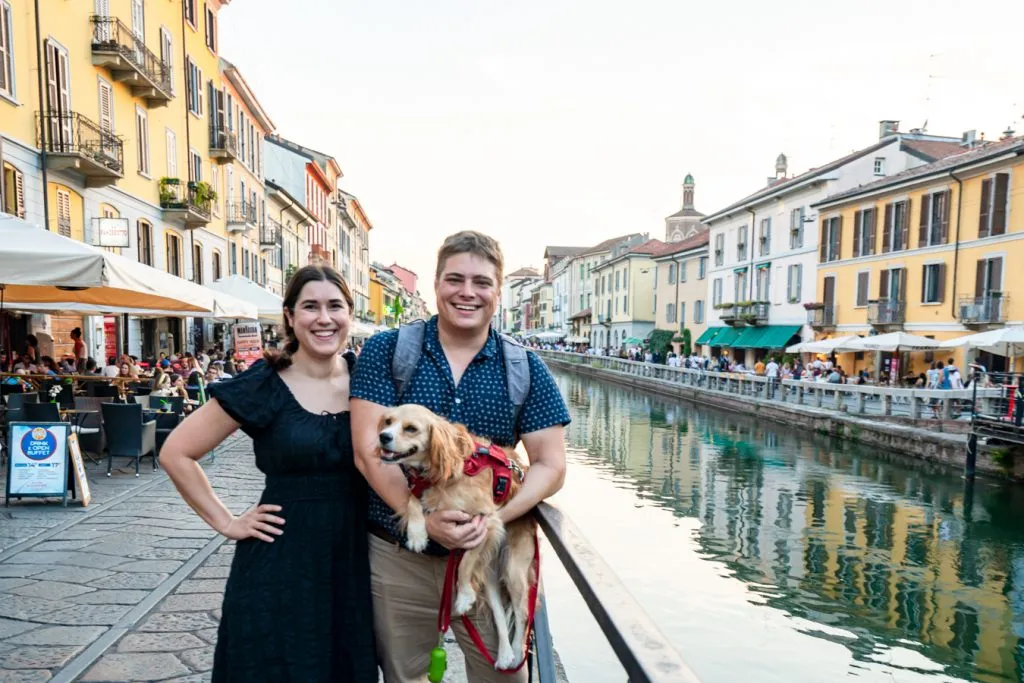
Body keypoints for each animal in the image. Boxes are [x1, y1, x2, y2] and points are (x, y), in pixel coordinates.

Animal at [376, 405, 536, 667]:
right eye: (388, 422)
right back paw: (504, 654)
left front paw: (462, 597)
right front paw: (417, 534)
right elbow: (411, 500)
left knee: (522, 614)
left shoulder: (486, 522)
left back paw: (516, 652)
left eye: (411, 428)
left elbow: (464, 563)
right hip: (490, 577)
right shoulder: (422, 492)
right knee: (500, 613)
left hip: (513, 569)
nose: (383, 436)